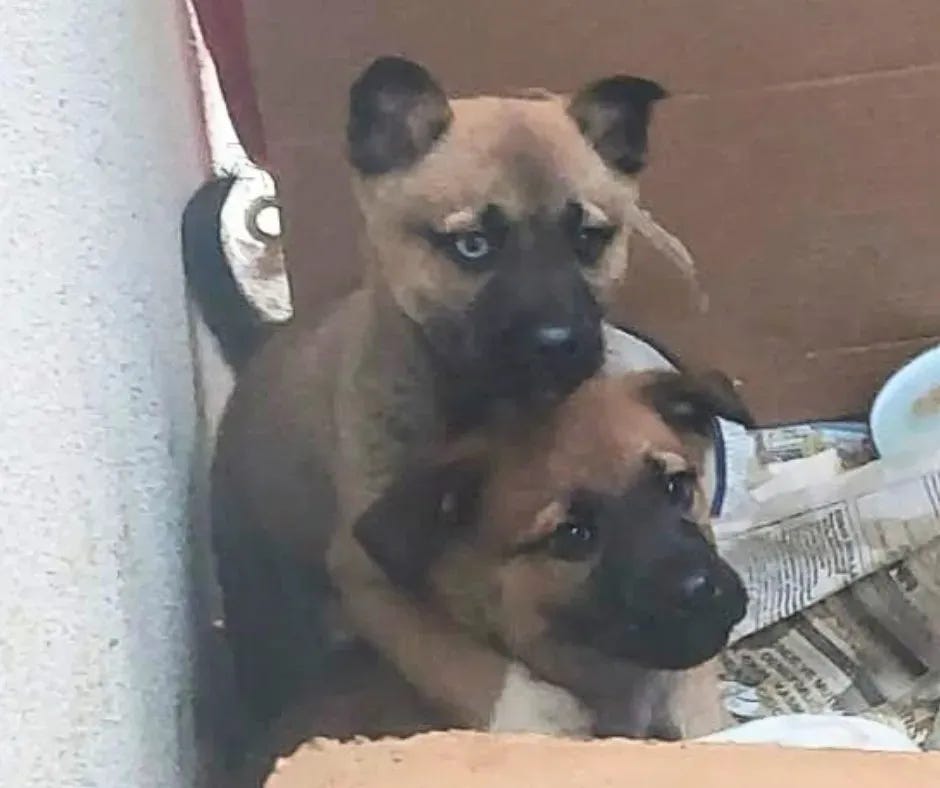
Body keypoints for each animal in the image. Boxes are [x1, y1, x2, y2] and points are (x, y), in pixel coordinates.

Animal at [187, 55, 676, 744]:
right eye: (473, 246)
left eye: (589, 239)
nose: (561, 344)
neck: (482, 404)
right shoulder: (369, 572)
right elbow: (454, 658)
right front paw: (536, 714)